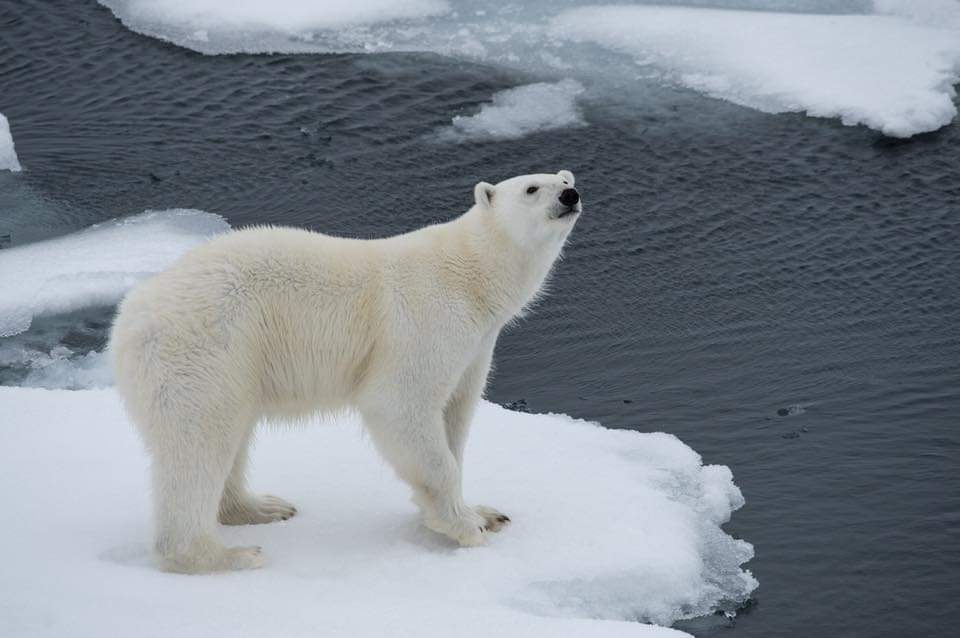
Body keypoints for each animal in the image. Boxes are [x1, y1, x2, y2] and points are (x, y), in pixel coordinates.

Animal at [109, 170, 580, 576]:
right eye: (532, 188)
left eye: (564, 179)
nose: (570, 195)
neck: (470, 277)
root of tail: (129, 318)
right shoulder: (424, 321)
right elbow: (401, 405)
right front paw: (467, 528)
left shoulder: (477, 344)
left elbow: (454, 415)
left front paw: (483, 512)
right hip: (205, 348)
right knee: (198, 444)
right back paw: (224, 555)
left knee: (230, 436)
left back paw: (261, 507)